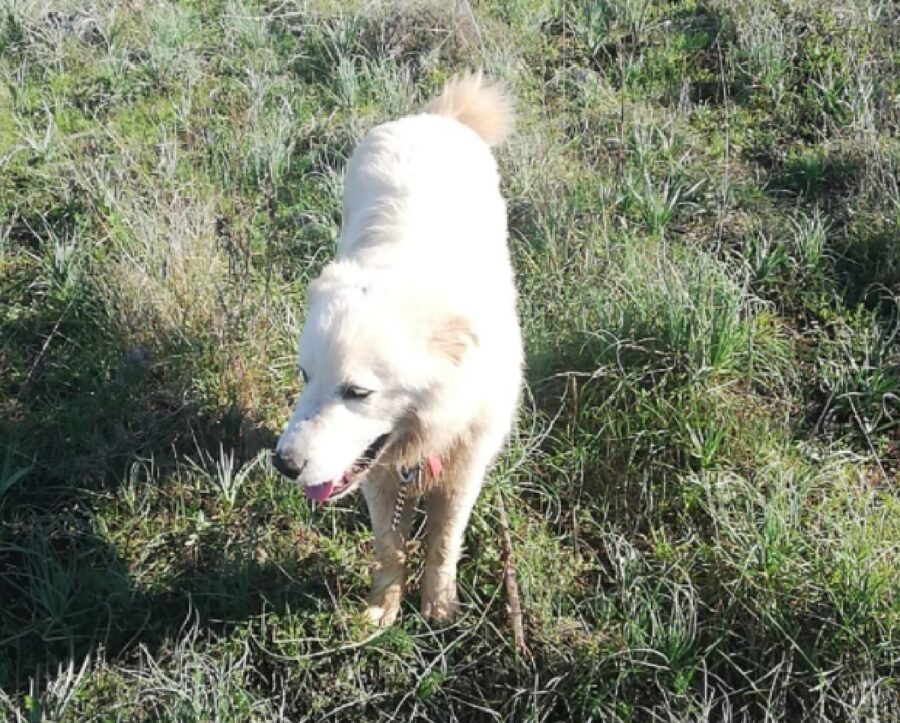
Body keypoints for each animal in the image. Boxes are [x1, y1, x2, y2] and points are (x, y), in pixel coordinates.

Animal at [274, 75, 520, 628]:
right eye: (304, 376)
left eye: (357, 391)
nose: (284, 465)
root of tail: (436, 118)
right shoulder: (379, 476)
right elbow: (390, 545)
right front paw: (381, 611)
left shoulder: (465, 471)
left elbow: (443, 543)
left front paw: (440, 608)